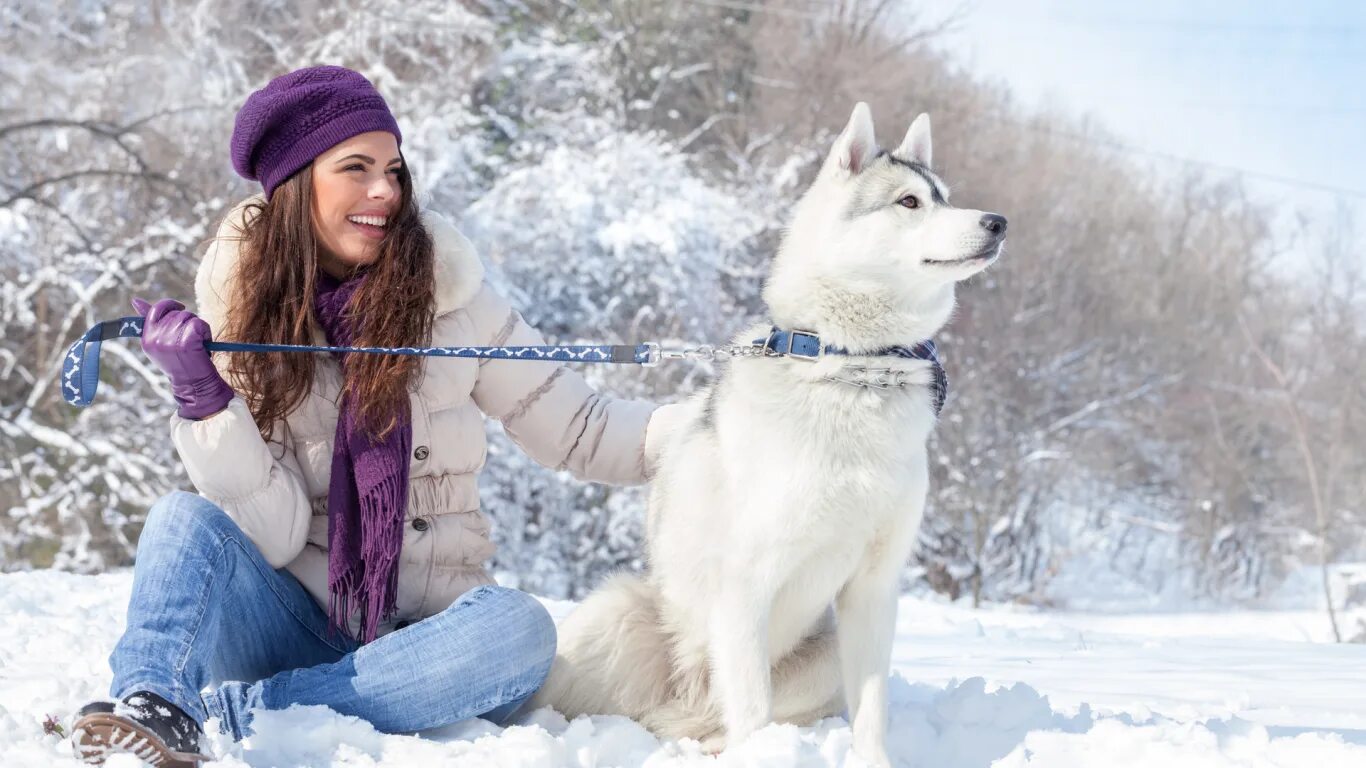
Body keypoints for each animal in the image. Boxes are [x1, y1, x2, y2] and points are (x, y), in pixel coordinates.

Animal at [527, 103, 1010, 765]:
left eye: (947, 197)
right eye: (909, 202)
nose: (998, 222)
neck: (851, 370)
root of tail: (685, 700)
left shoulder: (874, 590)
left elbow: (872, 712)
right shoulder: (745, 585)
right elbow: (752, 709)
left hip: (822, 657)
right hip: (616, 614)